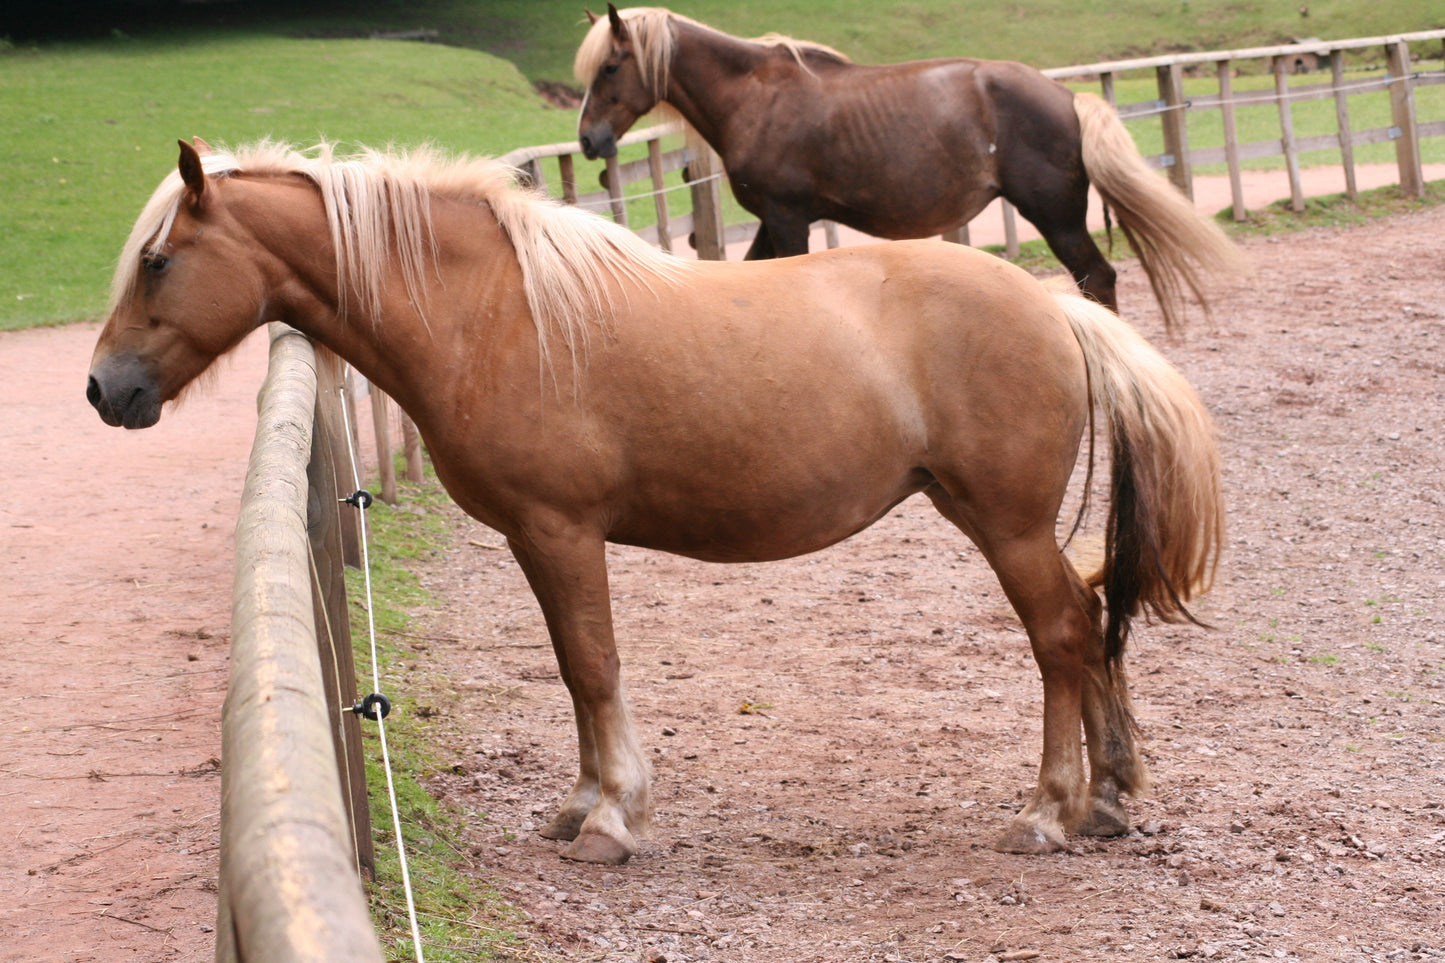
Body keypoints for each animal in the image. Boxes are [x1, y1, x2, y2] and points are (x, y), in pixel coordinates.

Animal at [87, 136, 1219, 861]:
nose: (104, 389)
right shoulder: (535, 539)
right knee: (1093, 620)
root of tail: (1055, 307)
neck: (491, 312)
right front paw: (582, 803)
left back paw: (1050, 811)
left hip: (1004, 524)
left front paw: (612, 820)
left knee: (1061, 637)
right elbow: (572, 667)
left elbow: (593, 665)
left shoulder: (561, 531)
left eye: (158, 260)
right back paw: (1109, 798)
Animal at [569, 4, 1248, 329]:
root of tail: (1064, 96)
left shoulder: (789, 219)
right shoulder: (771, 220)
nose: (588, 141)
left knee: (1098, 278)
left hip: (1055, 217)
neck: (755, 96)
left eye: (610, 67)